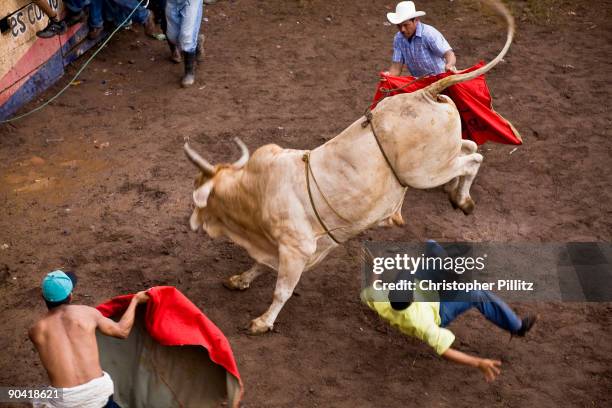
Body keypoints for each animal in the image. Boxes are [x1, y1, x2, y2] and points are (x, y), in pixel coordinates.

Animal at [184, 0, 512, 334]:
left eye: (199, 196)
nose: (192, 222)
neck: (254, 192)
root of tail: (424, 93)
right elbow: (261, 264)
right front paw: (240, 280)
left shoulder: (296, 248)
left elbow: (281, 289)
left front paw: (263, 321)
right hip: (441, 157)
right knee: (470, 148)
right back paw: (456, 194)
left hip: (426, 172)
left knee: (473, 160)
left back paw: (463, 200)